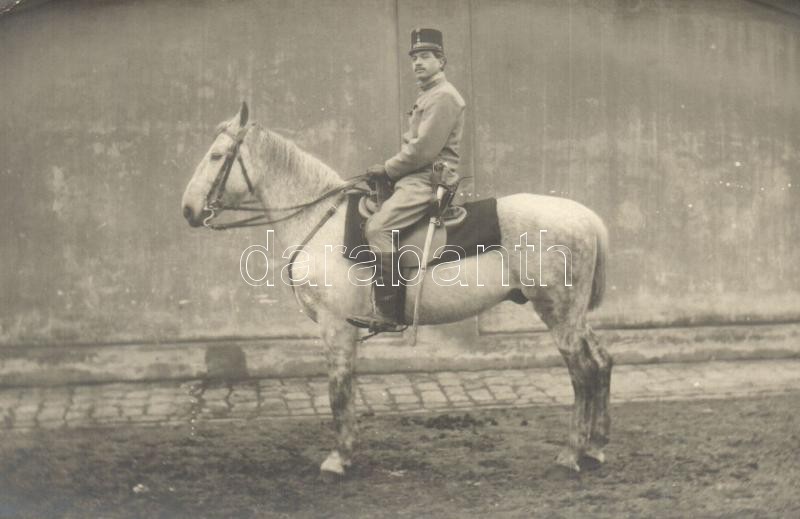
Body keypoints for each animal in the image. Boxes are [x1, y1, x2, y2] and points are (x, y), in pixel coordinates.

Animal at [181, 103, 612, 478]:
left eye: (217, 156)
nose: (188, 210)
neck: (322, 222)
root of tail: (585, 217)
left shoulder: (335, 326)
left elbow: (338, 389)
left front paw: (338, 458)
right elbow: (348, 387)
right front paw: (349, 451)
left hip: (557, 312)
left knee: (583, 371)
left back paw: (571, 453)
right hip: (574, 315)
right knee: (602, 361)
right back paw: (596, 446)